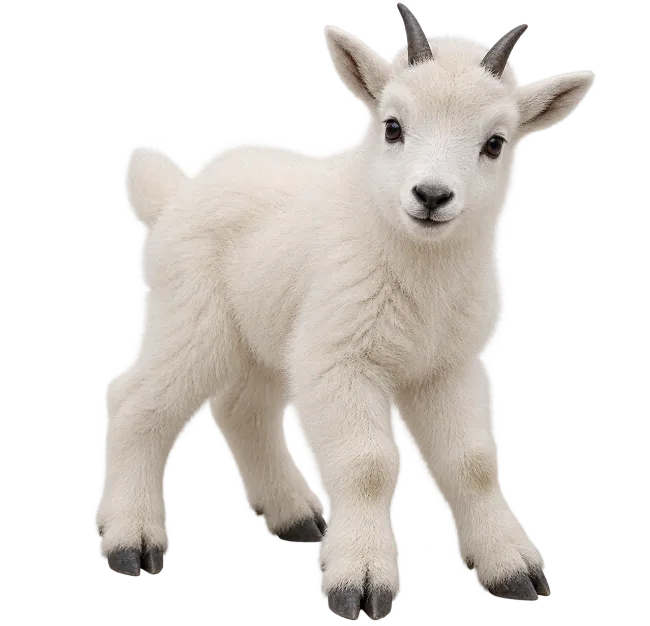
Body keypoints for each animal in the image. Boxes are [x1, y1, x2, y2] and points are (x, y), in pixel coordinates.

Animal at [95, 1, 595, 618]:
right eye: (393, 126)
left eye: (496, 142)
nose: (431, 197)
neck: (416, 265)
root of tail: (173, 195)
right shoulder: (340, 356)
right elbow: (367, 465)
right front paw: (359, 581)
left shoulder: (449, 367)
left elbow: (474, 464)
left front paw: (515, 569)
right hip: (192, 317)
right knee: (139, 401)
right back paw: (130, 540)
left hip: (263, 337)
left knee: (244, 407)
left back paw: (294, 515)